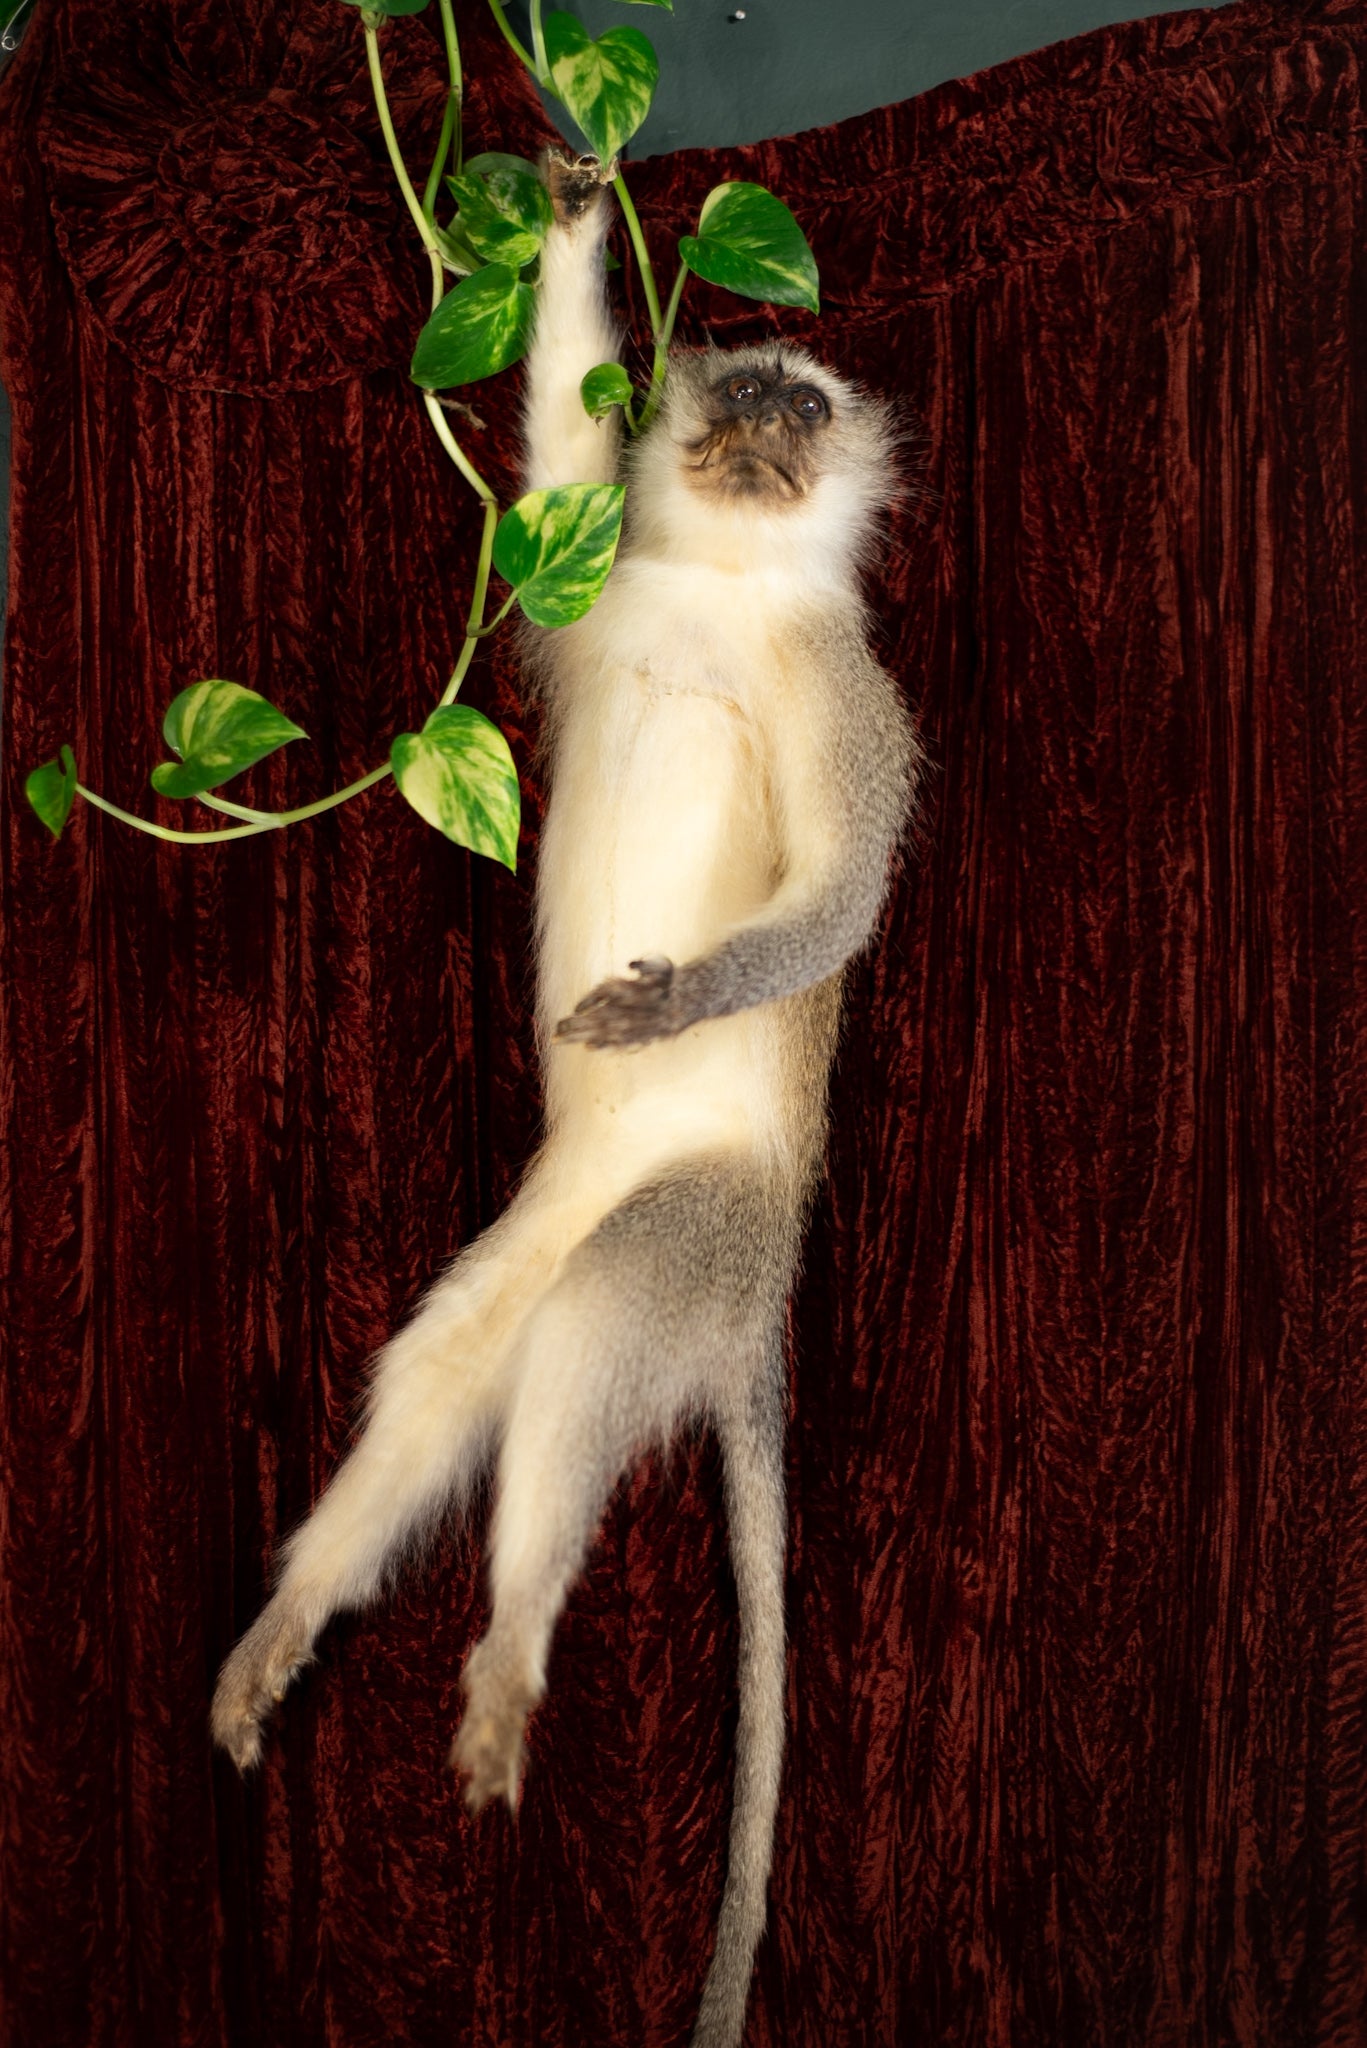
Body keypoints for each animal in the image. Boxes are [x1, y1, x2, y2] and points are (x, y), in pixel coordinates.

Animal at [211, 151, 920, 2048]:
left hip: (699, 1235)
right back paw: (296, 1619)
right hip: (536, 1219)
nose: (757, 429)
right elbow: (546, 467)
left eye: (804, 410)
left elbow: (848, 895)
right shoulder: (583, 572)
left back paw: (513, 1654)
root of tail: (755, 1310)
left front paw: (678, 997)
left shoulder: (858, 701)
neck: (724, 587)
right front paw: (577, 212)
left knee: (594, 1345)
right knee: (454, 1365)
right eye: (738, 390)